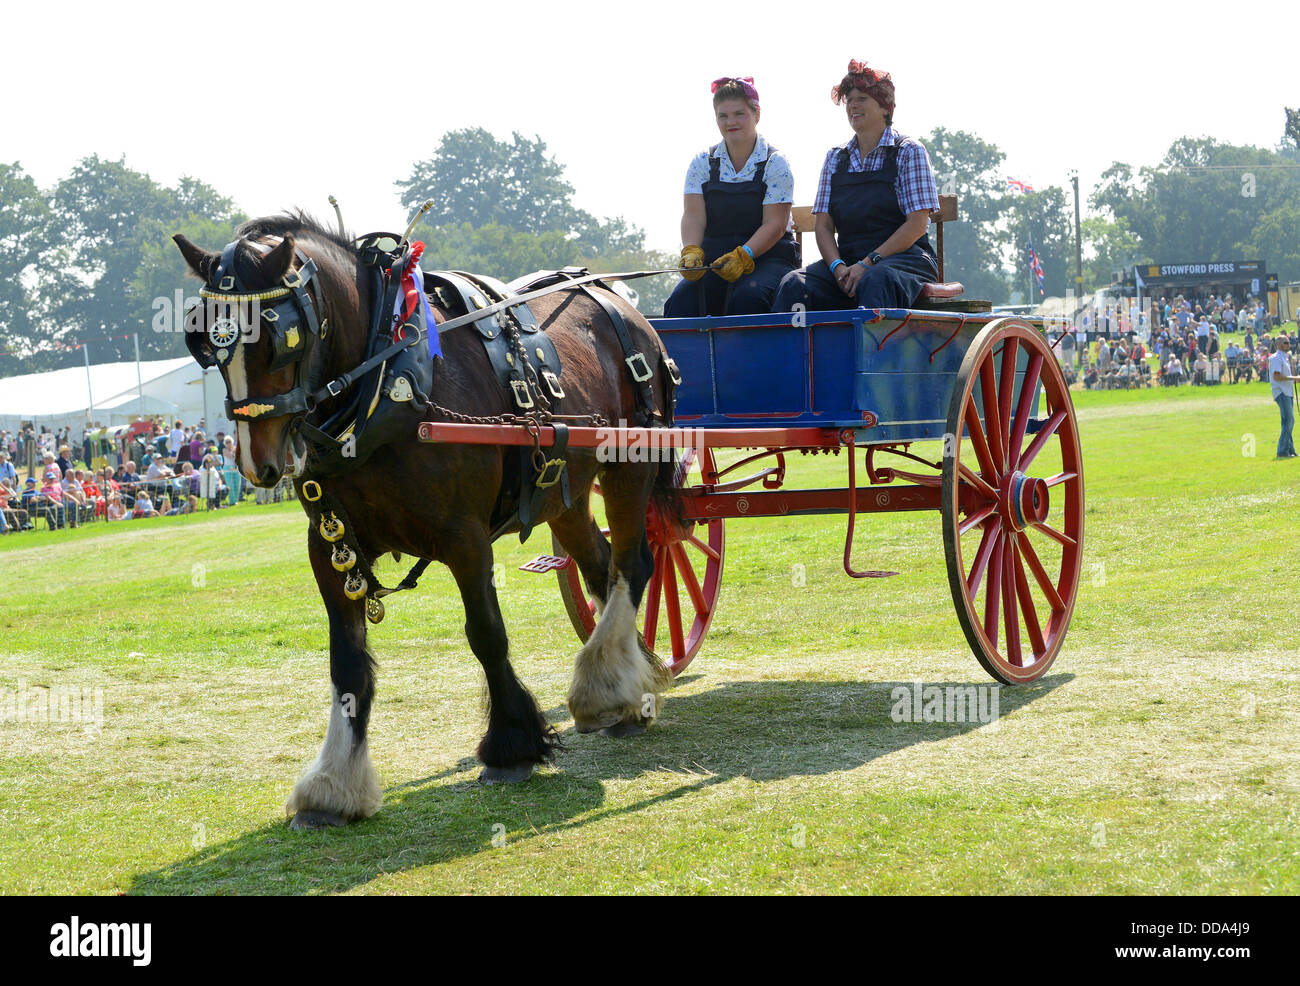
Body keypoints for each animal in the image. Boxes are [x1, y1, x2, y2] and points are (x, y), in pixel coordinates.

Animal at [175, 214, 681, 827]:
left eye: (278, 340)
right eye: (205, 342)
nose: (257, 462)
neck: (390, 381)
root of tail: (618, 301)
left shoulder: (465, 537)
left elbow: (486, 634)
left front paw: (512, 745)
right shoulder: (330, 546)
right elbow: (347, 662)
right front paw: (332, 787)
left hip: (630, 465)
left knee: (634, 563)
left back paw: (607, 688)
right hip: (565, 494)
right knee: (600, 568)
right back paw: (625, 686)